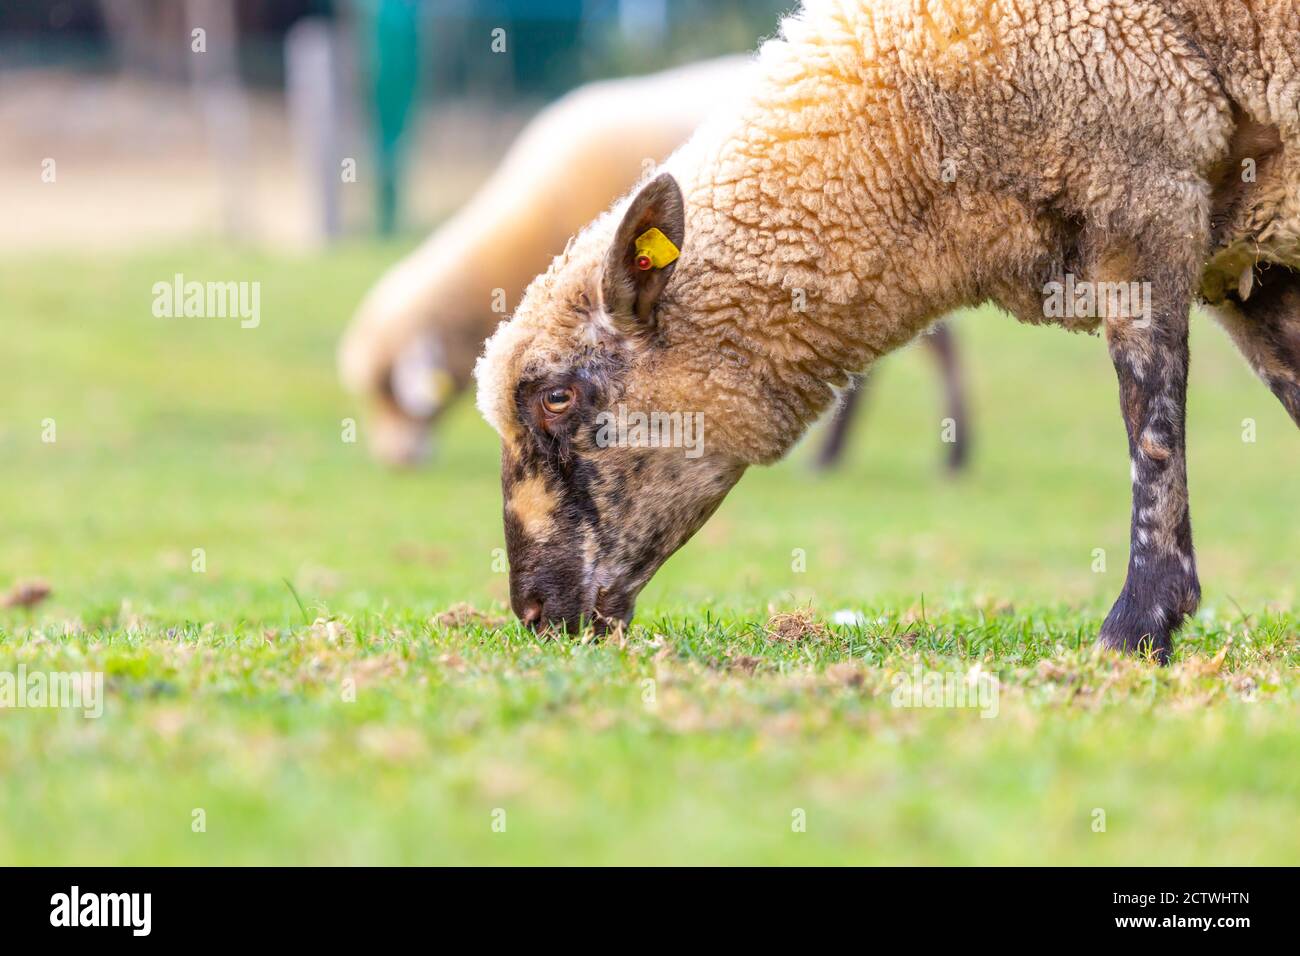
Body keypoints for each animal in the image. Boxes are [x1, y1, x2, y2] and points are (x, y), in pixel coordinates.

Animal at [475, 0, 1300, 662]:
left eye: (556, 397)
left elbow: (1150, 420)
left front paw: (1138, 627)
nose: (535, 612)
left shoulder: (1141, 185)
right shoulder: (1244, 253)